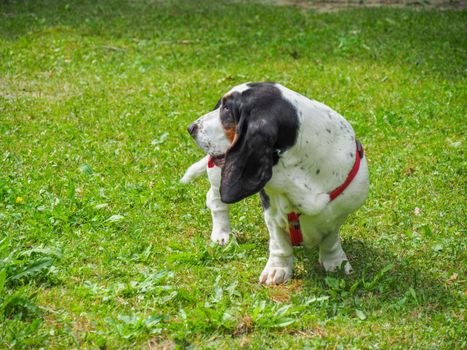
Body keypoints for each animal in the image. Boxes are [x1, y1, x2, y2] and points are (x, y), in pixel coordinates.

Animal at [183, 82, 370, 284]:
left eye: (227, 110)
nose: (191, 128)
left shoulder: (339, 212)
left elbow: (330, 239)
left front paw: (335, 263)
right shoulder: (271, 210)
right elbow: (280, 243)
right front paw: (278, 269)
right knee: (216, 200)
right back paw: (222, 233)